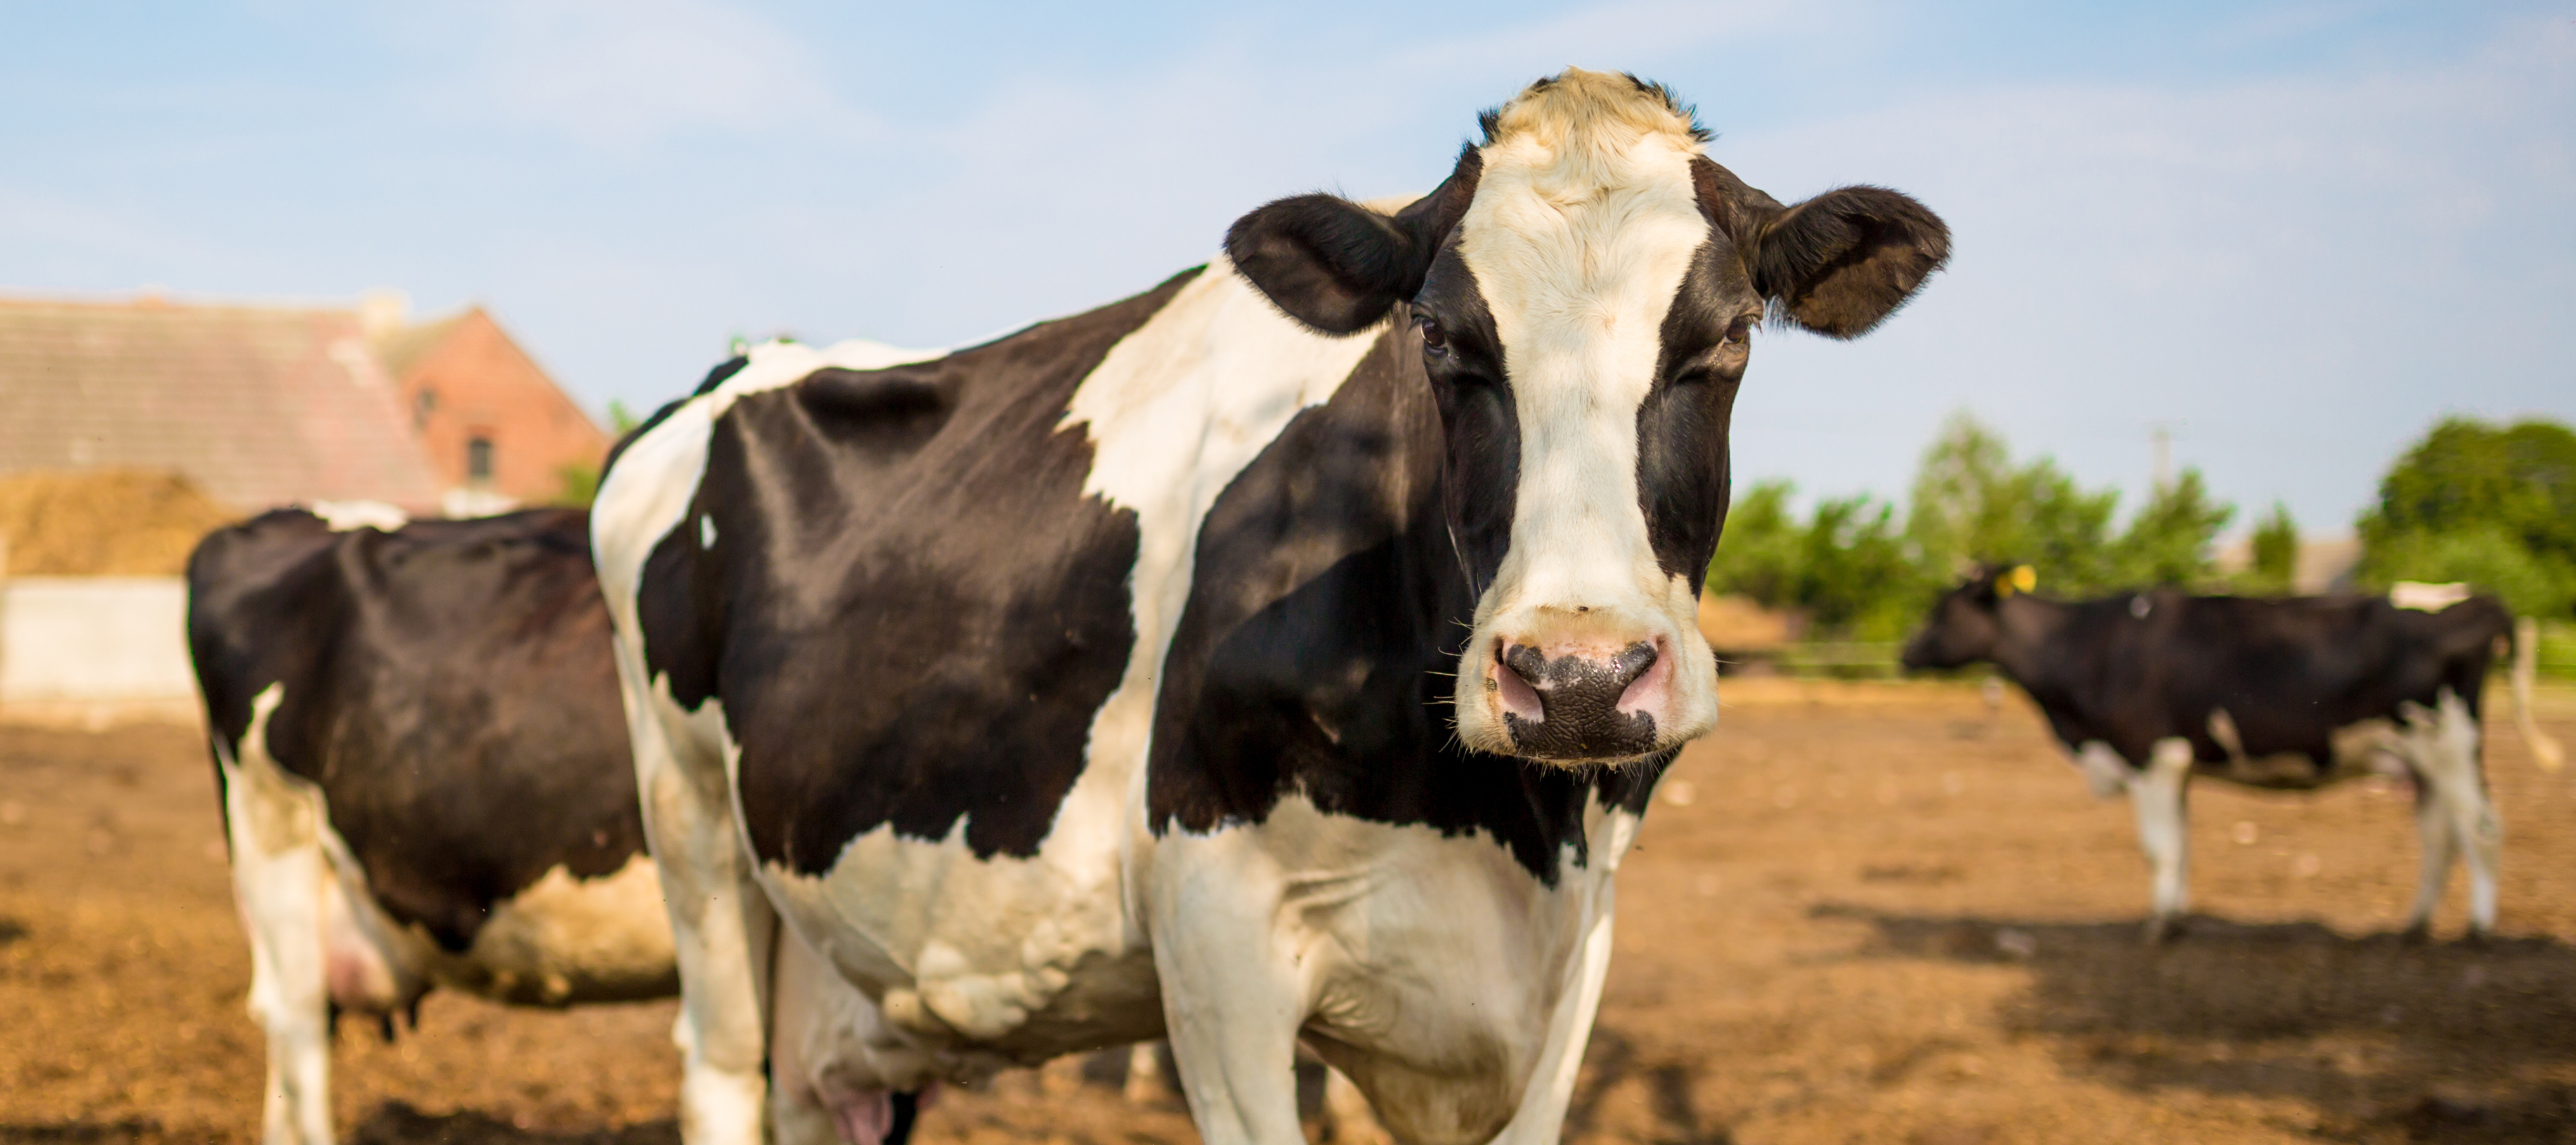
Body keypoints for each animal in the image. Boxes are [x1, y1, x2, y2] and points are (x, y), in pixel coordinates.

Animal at [593, 68, 1949, 1145]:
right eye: (1441, 339)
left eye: (1726, 338)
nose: (1575, 679)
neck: (1502, 827)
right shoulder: (1217, 943)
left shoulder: (1574, 955)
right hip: (691, 830)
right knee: (719, 1070)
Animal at [1899, 565, 2567, 943]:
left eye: (1944, 609)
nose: (1906, 651)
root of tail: (2470, 596)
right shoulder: (2180, 765)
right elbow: (2184, 842)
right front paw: (2178, 915)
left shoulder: (2152, 757)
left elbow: (2158, 846)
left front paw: (2158, 927)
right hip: (2421, 758)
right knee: (2438, 833)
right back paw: (2414, 926)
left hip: (2447, 741)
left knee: (2481, 827)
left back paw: (2478, 929)